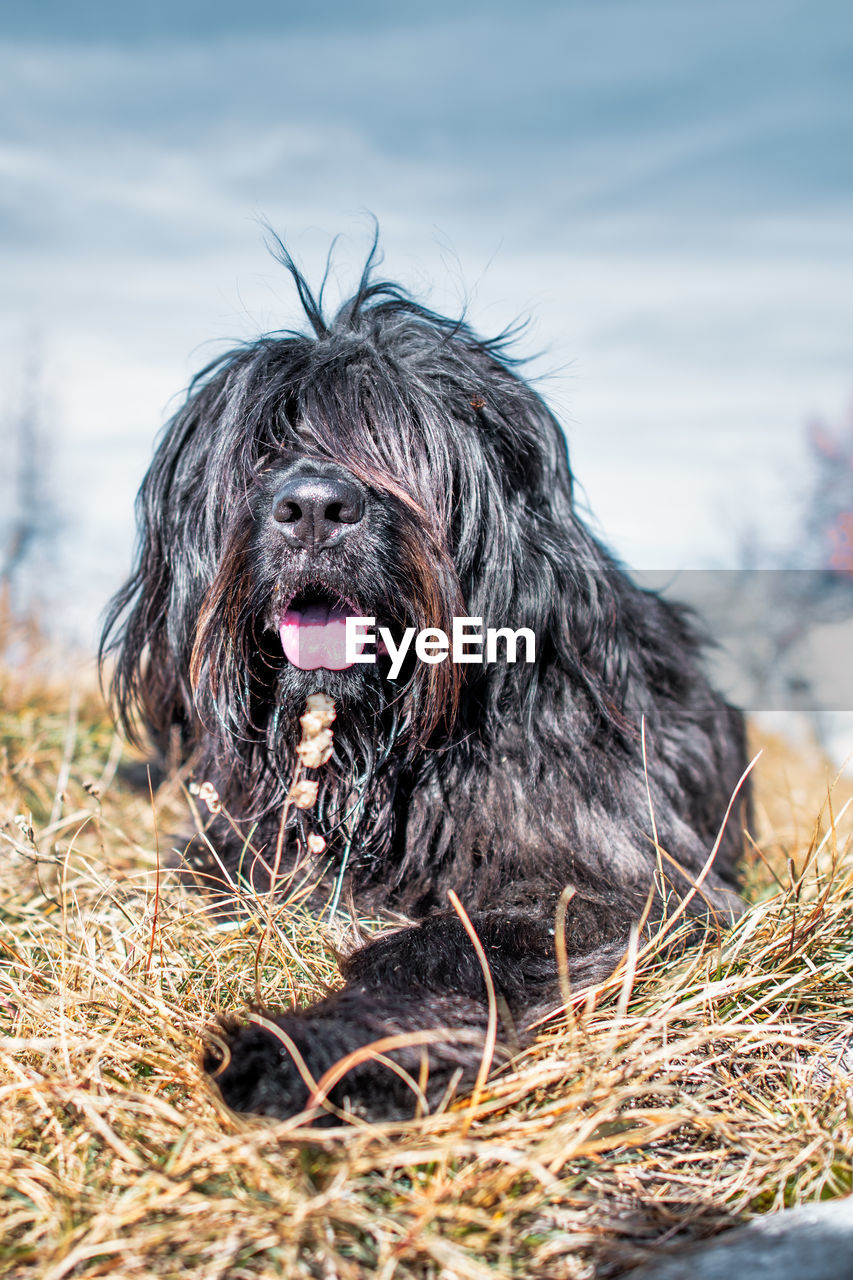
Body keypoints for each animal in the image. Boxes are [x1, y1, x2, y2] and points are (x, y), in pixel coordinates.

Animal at [103, 244, 747, 1126]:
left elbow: (442, 946)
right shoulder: (230, 847)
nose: (314, 507)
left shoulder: (620, 873)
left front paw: (316, 1049)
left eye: (397, 439)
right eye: (264, 447)